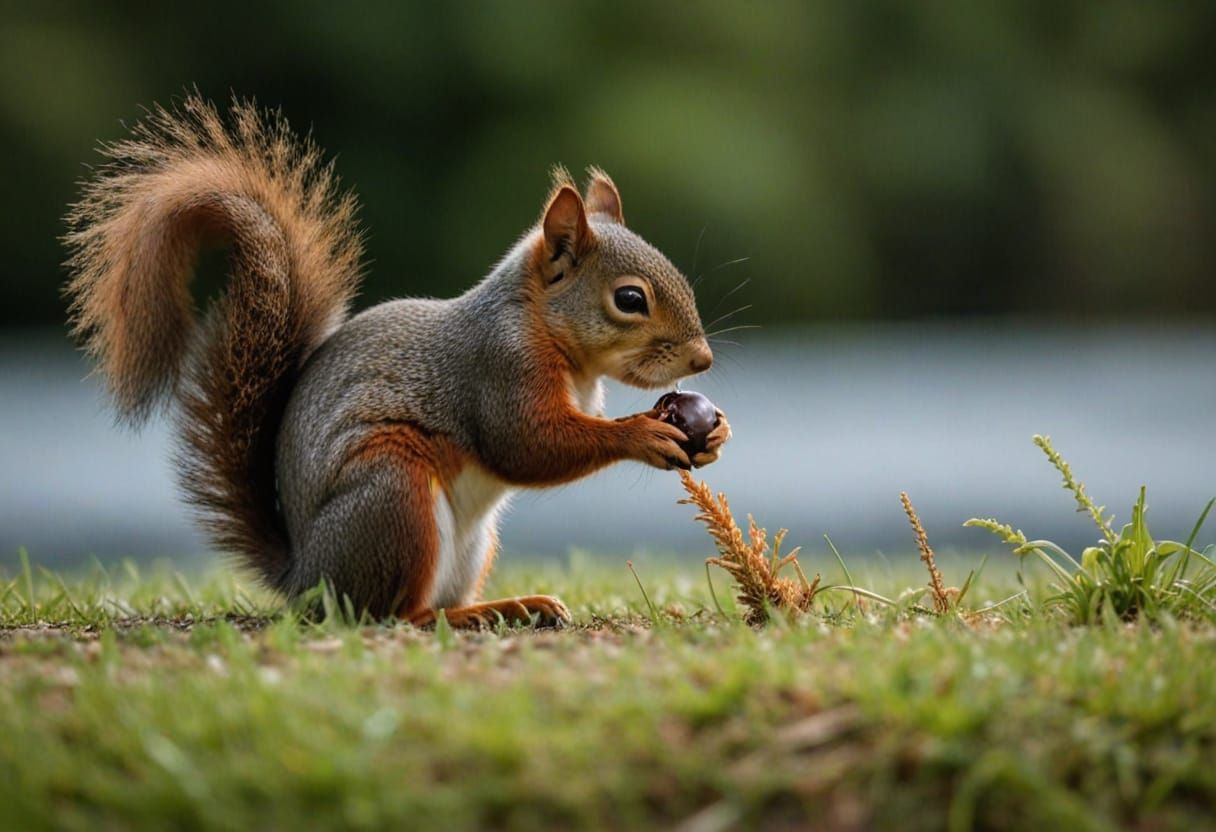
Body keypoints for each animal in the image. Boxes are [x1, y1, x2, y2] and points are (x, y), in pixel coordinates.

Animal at [64, 95, 730, 627]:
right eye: (630, 300)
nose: (702, 358)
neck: (546, 330)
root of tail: (307, 578)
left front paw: (715, 432)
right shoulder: (498, 368)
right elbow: (526, 445)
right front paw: (641, 432)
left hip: (471, 542)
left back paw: (513, 606)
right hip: (393, 492)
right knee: (394, 614)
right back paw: (468, 616)